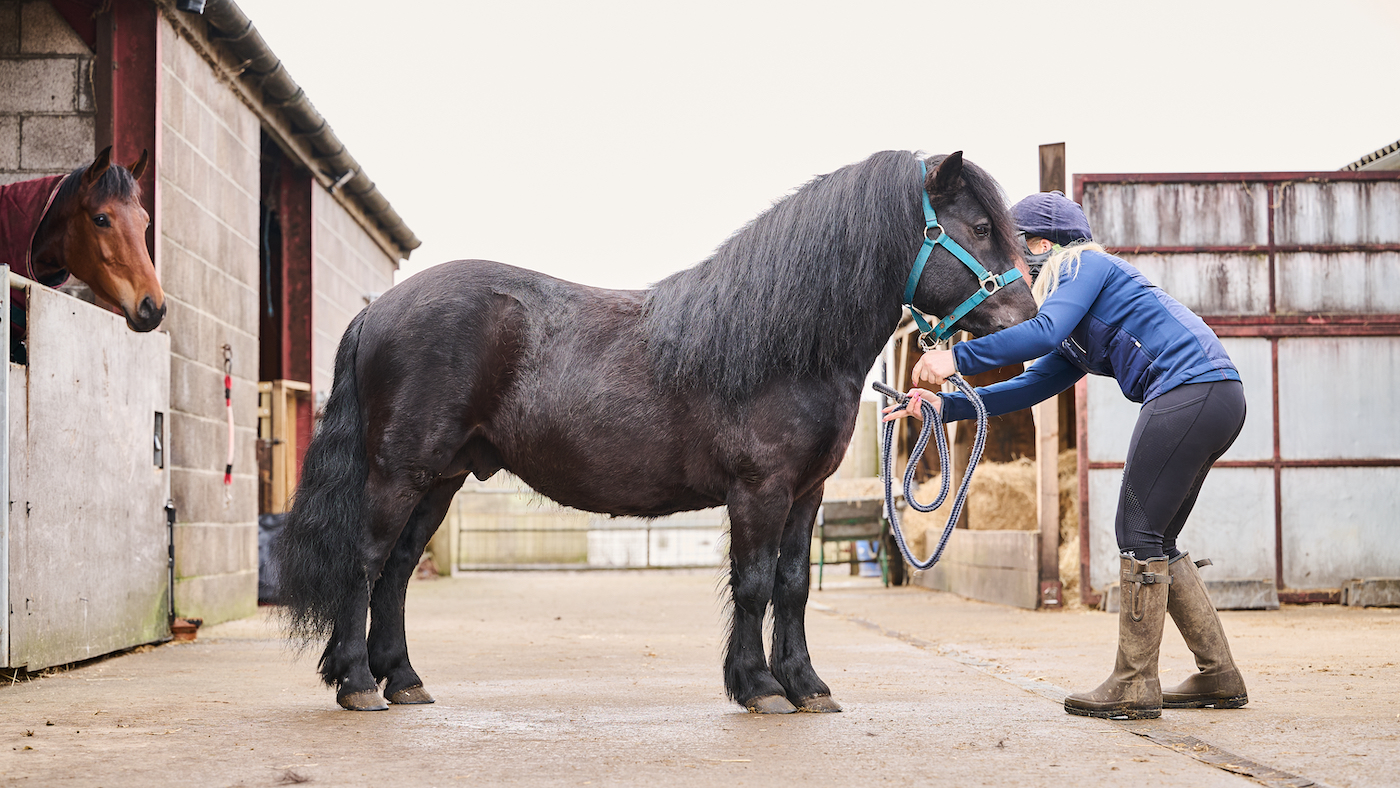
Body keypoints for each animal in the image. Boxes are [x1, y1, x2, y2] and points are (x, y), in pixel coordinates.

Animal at [273, 149, 1039, 713]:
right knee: (365, 561)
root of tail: (378, 310)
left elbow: (793, 584)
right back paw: (358, 684)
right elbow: (753, 583)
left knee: (399, 569)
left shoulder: (806, 495)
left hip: (443, 476)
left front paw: (807, 686)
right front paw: (759, 688)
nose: (1028, 318)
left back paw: (403, 680)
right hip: (399, 470)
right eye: (977, 229)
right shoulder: (759, 489)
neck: (785, 343)